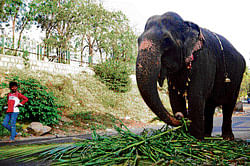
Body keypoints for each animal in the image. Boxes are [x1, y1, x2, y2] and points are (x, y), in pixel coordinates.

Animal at [136, 11, 245, 139]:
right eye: (138, 40)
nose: (180, 116)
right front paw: (183, 134)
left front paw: (195, 139)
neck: (186, 24)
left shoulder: (204, 59)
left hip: (238, 78)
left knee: (229, 104)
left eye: (166, 40)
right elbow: (175, 97)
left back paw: (226, 138)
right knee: (209, 105)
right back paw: (207, 135)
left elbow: (195, 96)